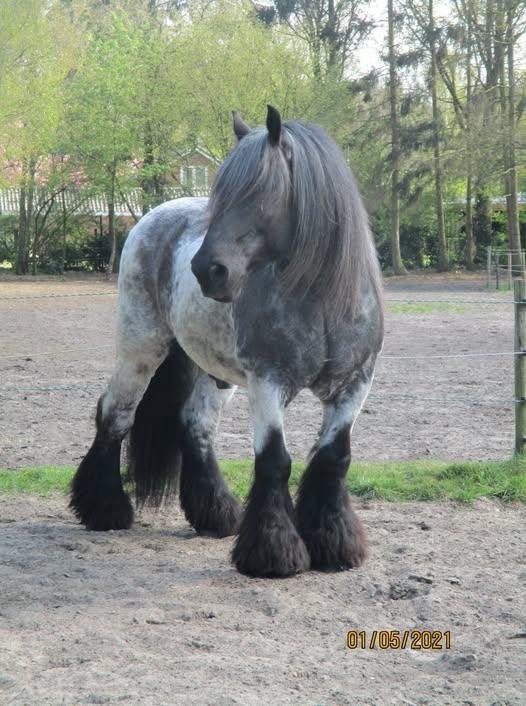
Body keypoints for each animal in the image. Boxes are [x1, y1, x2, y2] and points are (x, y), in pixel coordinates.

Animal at [70, 105, 384, 578]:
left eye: (260, 191)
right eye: (223, 192)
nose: (207, 270)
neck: (322, 301)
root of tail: (157, 216)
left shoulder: (355, 384)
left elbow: (333, 457)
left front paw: (334, 544)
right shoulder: (269, 382)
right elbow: (274, 460)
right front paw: (273, 554)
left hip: (211, 370)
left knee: (196, 426)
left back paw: (215, 514)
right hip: (141, 349)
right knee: (116, 415)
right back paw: (104, 510)